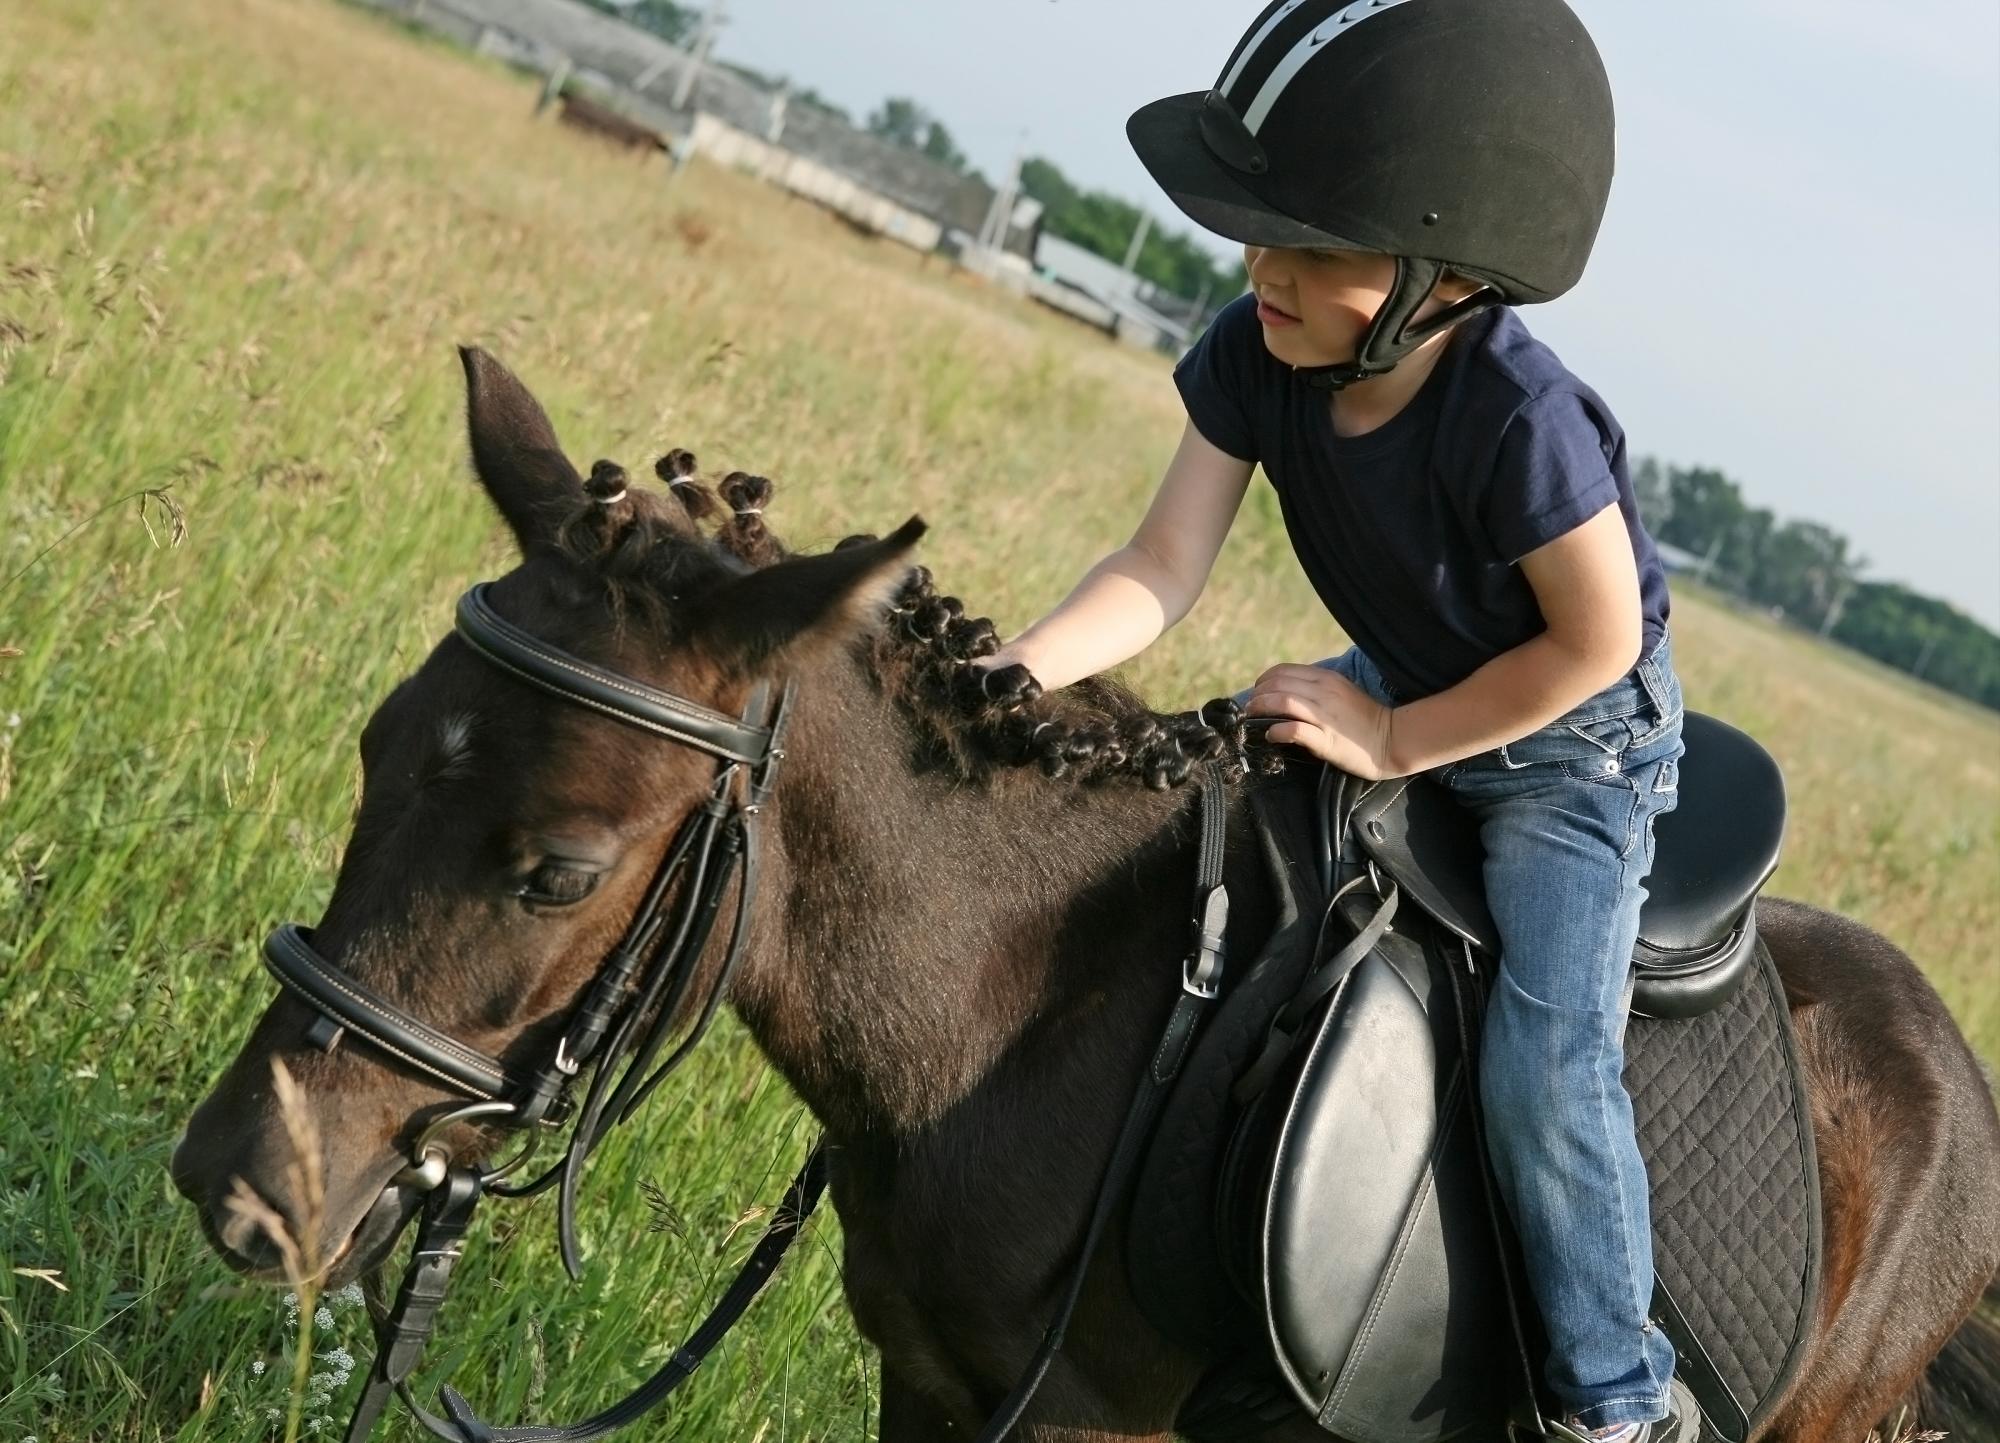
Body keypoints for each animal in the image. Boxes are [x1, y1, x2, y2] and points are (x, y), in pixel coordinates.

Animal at [172, 348, 2000, 1441]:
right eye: (377, 750)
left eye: (557, 867)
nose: (244, 1184)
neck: (1033, 1003)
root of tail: (1949, 1062)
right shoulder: (930, 1380)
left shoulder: (1083, 1419)